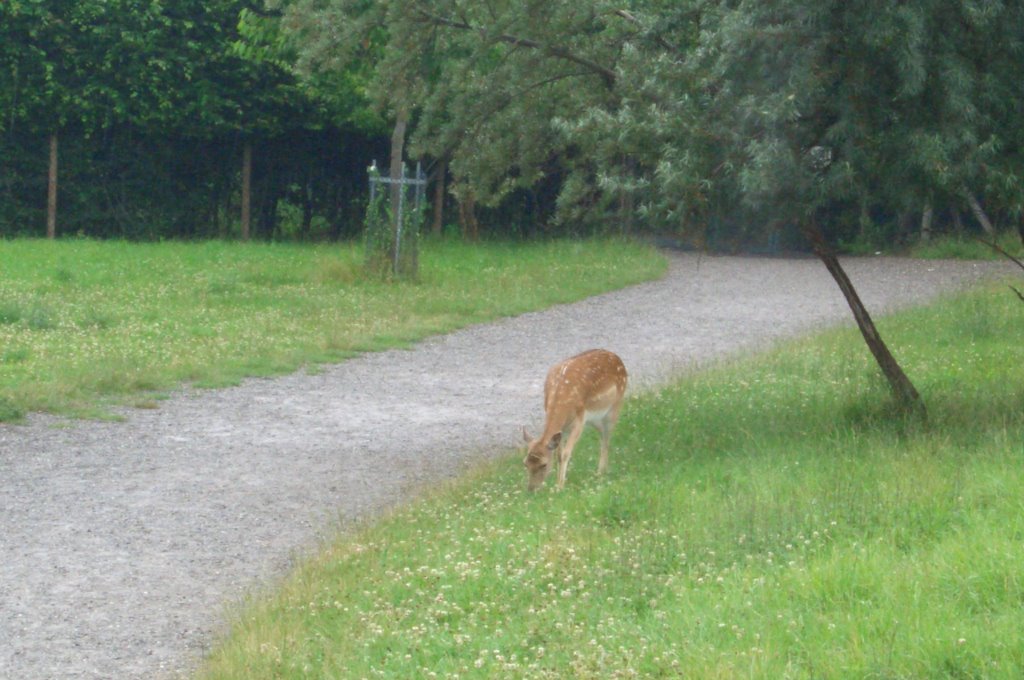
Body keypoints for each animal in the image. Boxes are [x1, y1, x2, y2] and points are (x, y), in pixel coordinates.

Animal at [524, 350, 626, 489]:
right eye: (525, 463)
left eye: (544, 464)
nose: (531, 488)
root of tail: (617, 358)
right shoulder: (563, 429)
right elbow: (559, 455)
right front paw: (558, 483)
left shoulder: (579, 420)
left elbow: (566, 453)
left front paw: (560, 487)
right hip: (596, 418)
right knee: (602, 435)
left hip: (615, 406)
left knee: (606, 439)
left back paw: (600, 473)